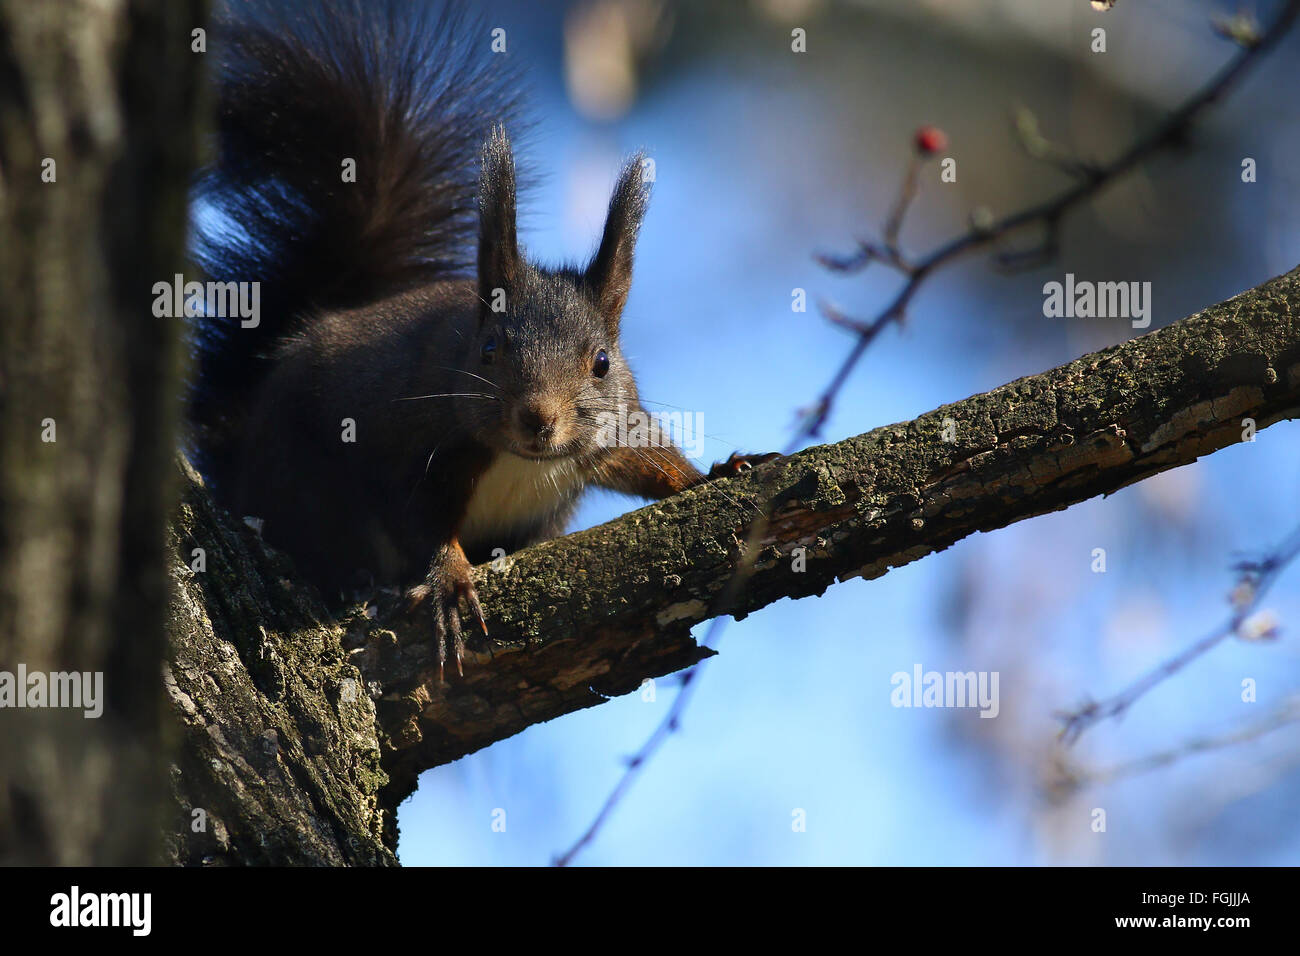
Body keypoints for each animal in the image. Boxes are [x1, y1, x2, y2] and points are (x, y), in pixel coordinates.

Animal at [189, 0, 774, 676]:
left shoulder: (612, 428)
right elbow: (419, 520)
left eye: (602, 362)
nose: (538, 419)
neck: (521, 458)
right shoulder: (411, 442)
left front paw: (717, 473)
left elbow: (650, 460)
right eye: (490, 350)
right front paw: (448, 576)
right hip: (302, 481)